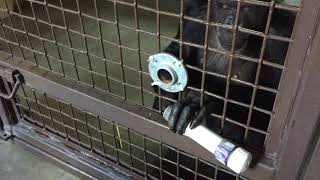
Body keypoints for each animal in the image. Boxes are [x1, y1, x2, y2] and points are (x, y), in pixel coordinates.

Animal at [152, 0, 296, 150]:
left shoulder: (281, 36)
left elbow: (272, 101)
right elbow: (179, 51)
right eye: (225, 6)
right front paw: (166, 90)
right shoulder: (194, 13)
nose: (232, 21)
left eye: (246, 8)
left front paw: (205, 100)